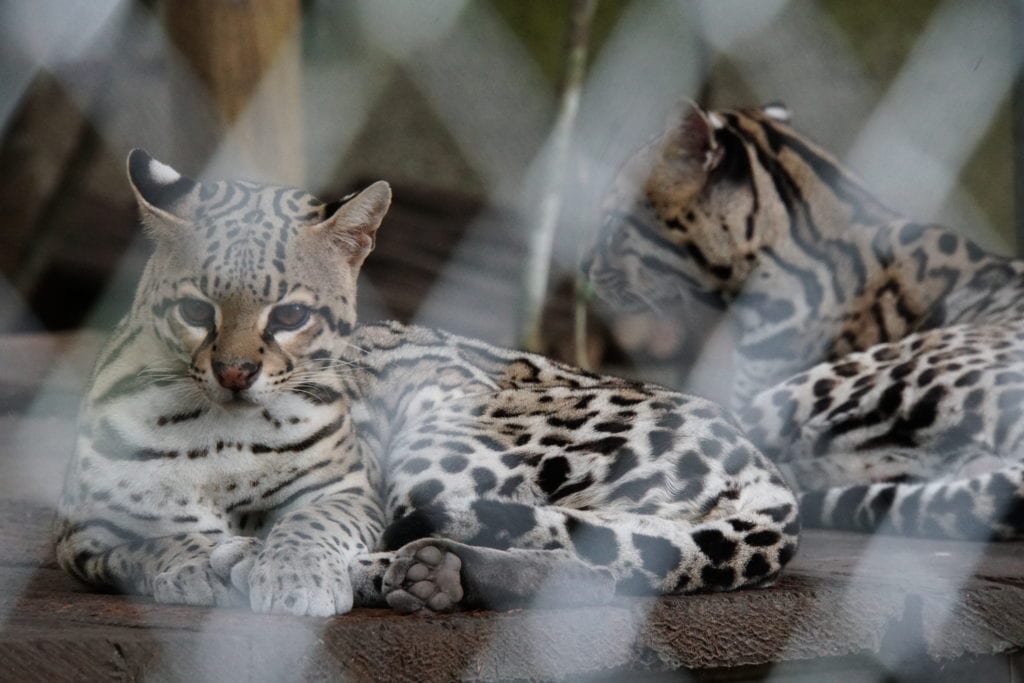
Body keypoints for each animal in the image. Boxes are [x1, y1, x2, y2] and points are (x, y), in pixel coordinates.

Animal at [51, 150, 794, 618]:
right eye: (196, 310)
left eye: (289, 315)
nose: (237, 372)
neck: (221, 430)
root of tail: (763, 464)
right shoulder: (78, 527)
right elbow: (144, 542)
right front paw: (194, 561)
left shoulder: (346, 490)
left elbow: (311, 526)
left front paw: (288, 572)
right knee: (608, 563)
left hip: (442, 448)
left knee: (588, 563)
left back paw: (407, 572)